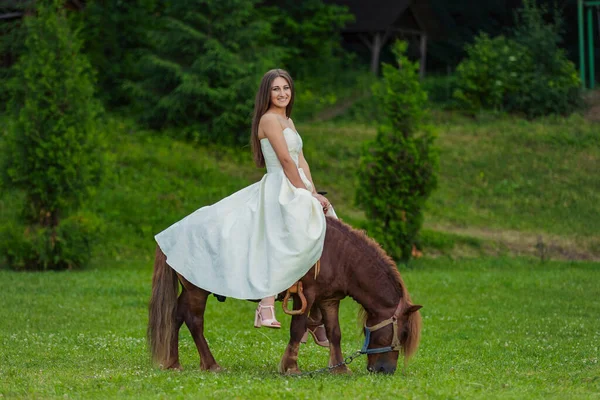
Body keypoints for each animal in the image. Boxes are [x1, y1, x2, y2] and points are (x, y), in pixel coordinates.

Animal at [148, 217, 422, 374]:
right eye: (403, 333)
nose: (386, 370)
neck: (340, 255)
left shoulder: (329, 299)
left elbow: (334, 333)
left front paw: (340, 368)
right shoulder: (306, 295)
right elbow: (297, 329)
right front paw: (291, 366)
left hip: (190, 289)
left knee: (175, 316)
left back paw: (173, 362)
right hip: (197, 289)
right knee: (194, 321)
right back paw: (211, 364)